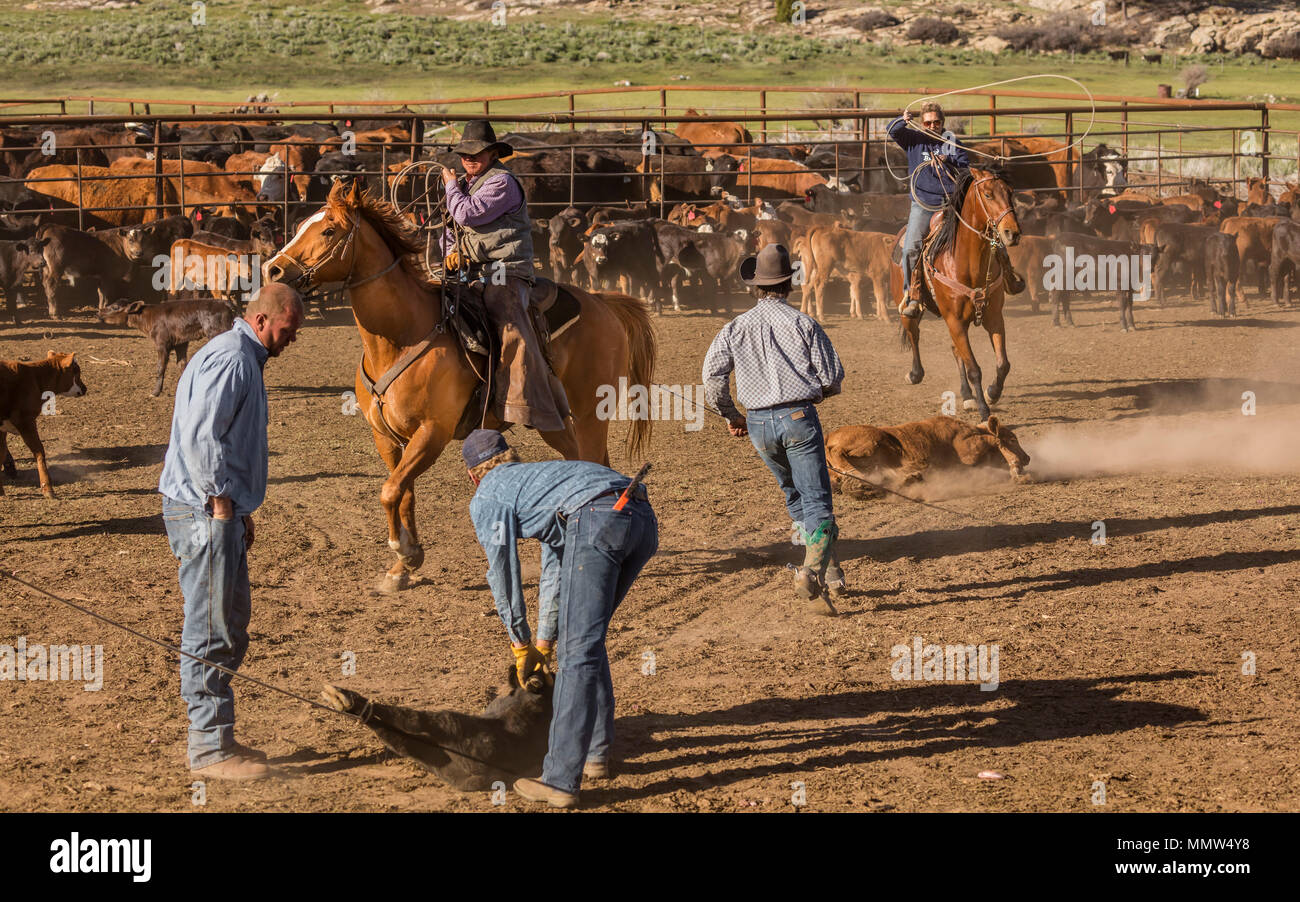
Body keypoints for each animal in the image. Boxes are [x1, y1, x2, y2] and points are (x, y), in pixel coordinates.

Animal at [0, 350, 86, 499]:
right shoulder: (26, 422)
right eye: (77, 372)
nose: (85, 388)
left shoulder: (2, 428)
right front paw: (48, 488)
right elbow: (39, 452)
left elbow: (1, 453)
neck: (34, 378)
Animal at [261, 181, 660, 592]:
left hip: (590, 412)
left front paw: (403, 552)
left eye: (328, 230)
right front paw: (404, 565)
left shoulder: (433, 433)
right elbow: (402, 493)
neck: (401, 335)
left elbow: (389, 491)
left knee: (595, 463)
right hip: (559, 422)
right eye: (301, 225)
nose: (271, 268)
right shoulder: (386, 437)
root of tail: (602, 302)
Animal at [826, 415, 1029, 499]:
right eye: (1012, 439)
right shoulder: (968, 450)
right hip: (871, 441)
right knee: (839, 453)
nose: (1027, 458)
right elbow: (994, 440)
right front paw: (1017, 469)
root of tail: (829, 436)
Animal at [899, 165, 1019, 423]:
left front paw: (992, 393)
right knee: (913, 332)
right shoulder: (954, 320)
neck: (968, 264)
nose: (1012, 233)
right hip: (907, 305)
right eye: (988, 194)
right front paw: (984, 411)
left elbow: (1003, 364)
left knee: (956, 351)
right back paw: (915, 373)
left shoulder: (994, 318)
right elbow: (974, 368)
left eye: (1010, 192)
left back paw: (966, 395)